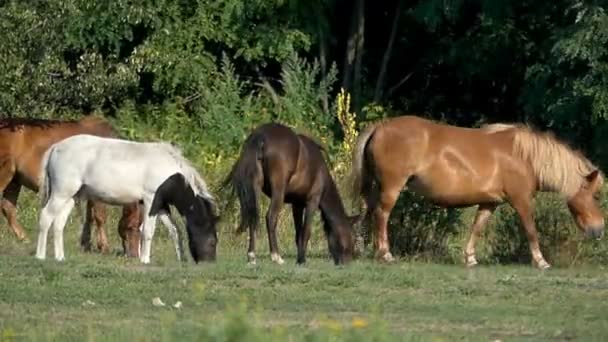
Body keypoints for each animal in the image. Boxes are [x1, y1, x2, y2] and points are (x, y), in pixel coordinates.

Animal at [0, 116, 141, 255]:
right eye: (132, 227)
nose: (134, 255)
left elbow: (89, 217)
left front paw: (86, 244)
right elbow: (100, 217)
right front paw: (103, 246)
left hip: (14, 180)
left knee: (8, 208)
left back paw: (24, 238)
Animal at [34, 135, 217, 264]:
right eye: (213, 242)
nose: (209, 263)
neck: (171, 173)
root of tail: (55, 148)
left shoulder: (161, 205)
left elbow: (174, 230)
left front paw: (181, 259)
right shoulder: (150, 200)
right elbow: (147, 231)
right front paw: (145, 259)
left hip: (71, 196)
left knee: (58, 223)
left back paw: (60, 257)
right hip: (61, 193)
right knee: (45, 217)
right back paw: (40, 255)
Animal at [222, 123, 356, 264]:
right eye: (352, 236)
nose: (347, 262)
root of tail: (261, 136)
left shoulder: (297, 204)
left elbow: (298, 232)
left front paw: (299, 257)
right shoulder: (312, 201)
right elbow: (306, 231)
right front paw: (302, 259)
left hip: (255, 188)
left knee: (253, 216)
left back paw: (252, 256)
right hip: (278, 191)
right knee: (270, 217)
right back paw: (276, 256)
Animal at [352, 115, 604, 270]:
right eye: (595, 195)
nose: (599, 229)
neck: (525, 157)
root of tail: (380, 127)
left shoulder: (490, 203)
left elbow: (477, 228)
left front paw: (470, 258)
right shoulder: (521, 200)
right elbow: (531, 230)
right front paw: (541, 261)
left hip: (375, 187)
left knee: (365, 213)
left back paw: (359, 248)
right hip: (391, 188)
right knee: (381, 215)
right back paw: (385, 254)